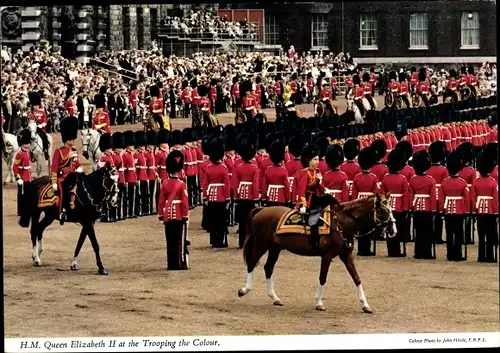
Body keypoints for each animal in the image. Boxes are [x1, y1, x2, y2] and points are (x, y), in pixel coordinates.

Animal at [236, 192, 396, 310]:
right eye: (383, 209)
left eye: (391, 208)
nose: (393, 230)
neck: (341, 223)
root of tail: (262, 209)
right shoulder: (327, 256)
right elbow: (322, 278)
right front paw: (319, 302)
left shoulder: (346, 255)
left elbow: (356, 278)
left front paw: (365, 304)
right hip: (262, 245)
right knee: (252, 263)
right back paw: (244, 290)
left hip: (275, 248)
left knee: (268, 268)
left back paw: (275, 298)